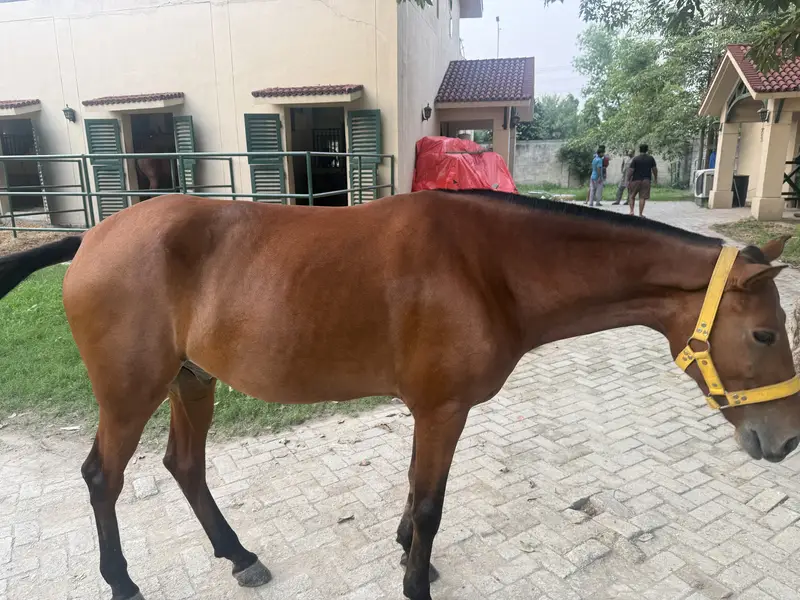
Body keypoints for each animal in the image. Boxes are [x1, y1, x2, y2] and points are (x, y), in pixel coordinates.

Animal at [1, 189, 799, 600]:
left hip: (191, 383)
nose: (784, 439)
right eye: (765, 334)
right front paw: (417, 580)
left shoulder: (431, 412)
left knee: (185, 467)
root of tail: (91, 238)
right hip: (130, 391)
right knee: (102, 477)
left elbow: (416, 500)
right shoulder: (442, 411)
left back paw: (238, 555)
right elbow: (431, 506)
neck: (488, 265)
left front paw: (408, 553)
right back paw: (122, 583)